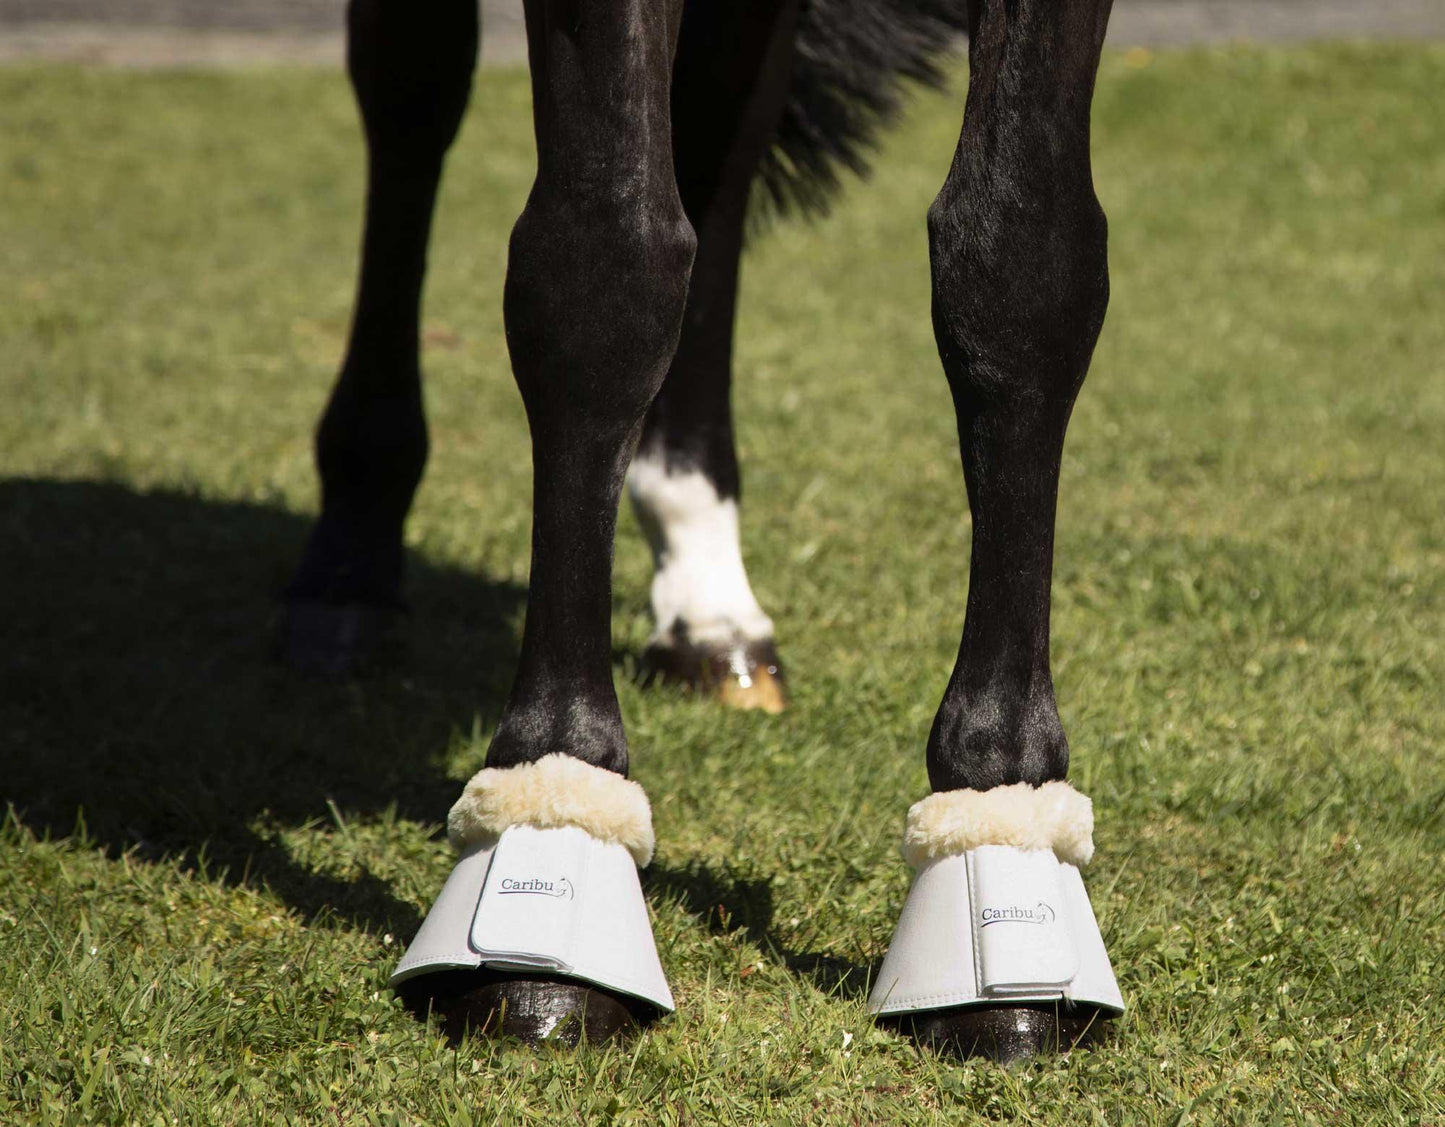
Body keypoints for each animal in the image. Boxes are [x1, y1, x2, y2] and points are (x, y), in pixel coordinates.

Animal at [280, 0, 1123, 1062]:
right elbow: (604, 266)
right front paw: (554, 793)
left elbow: (1018, 260)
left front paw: (1000, 812)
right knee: (411, 95)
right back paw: (351, 549)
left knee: (716, 146)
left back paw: (705, 593)